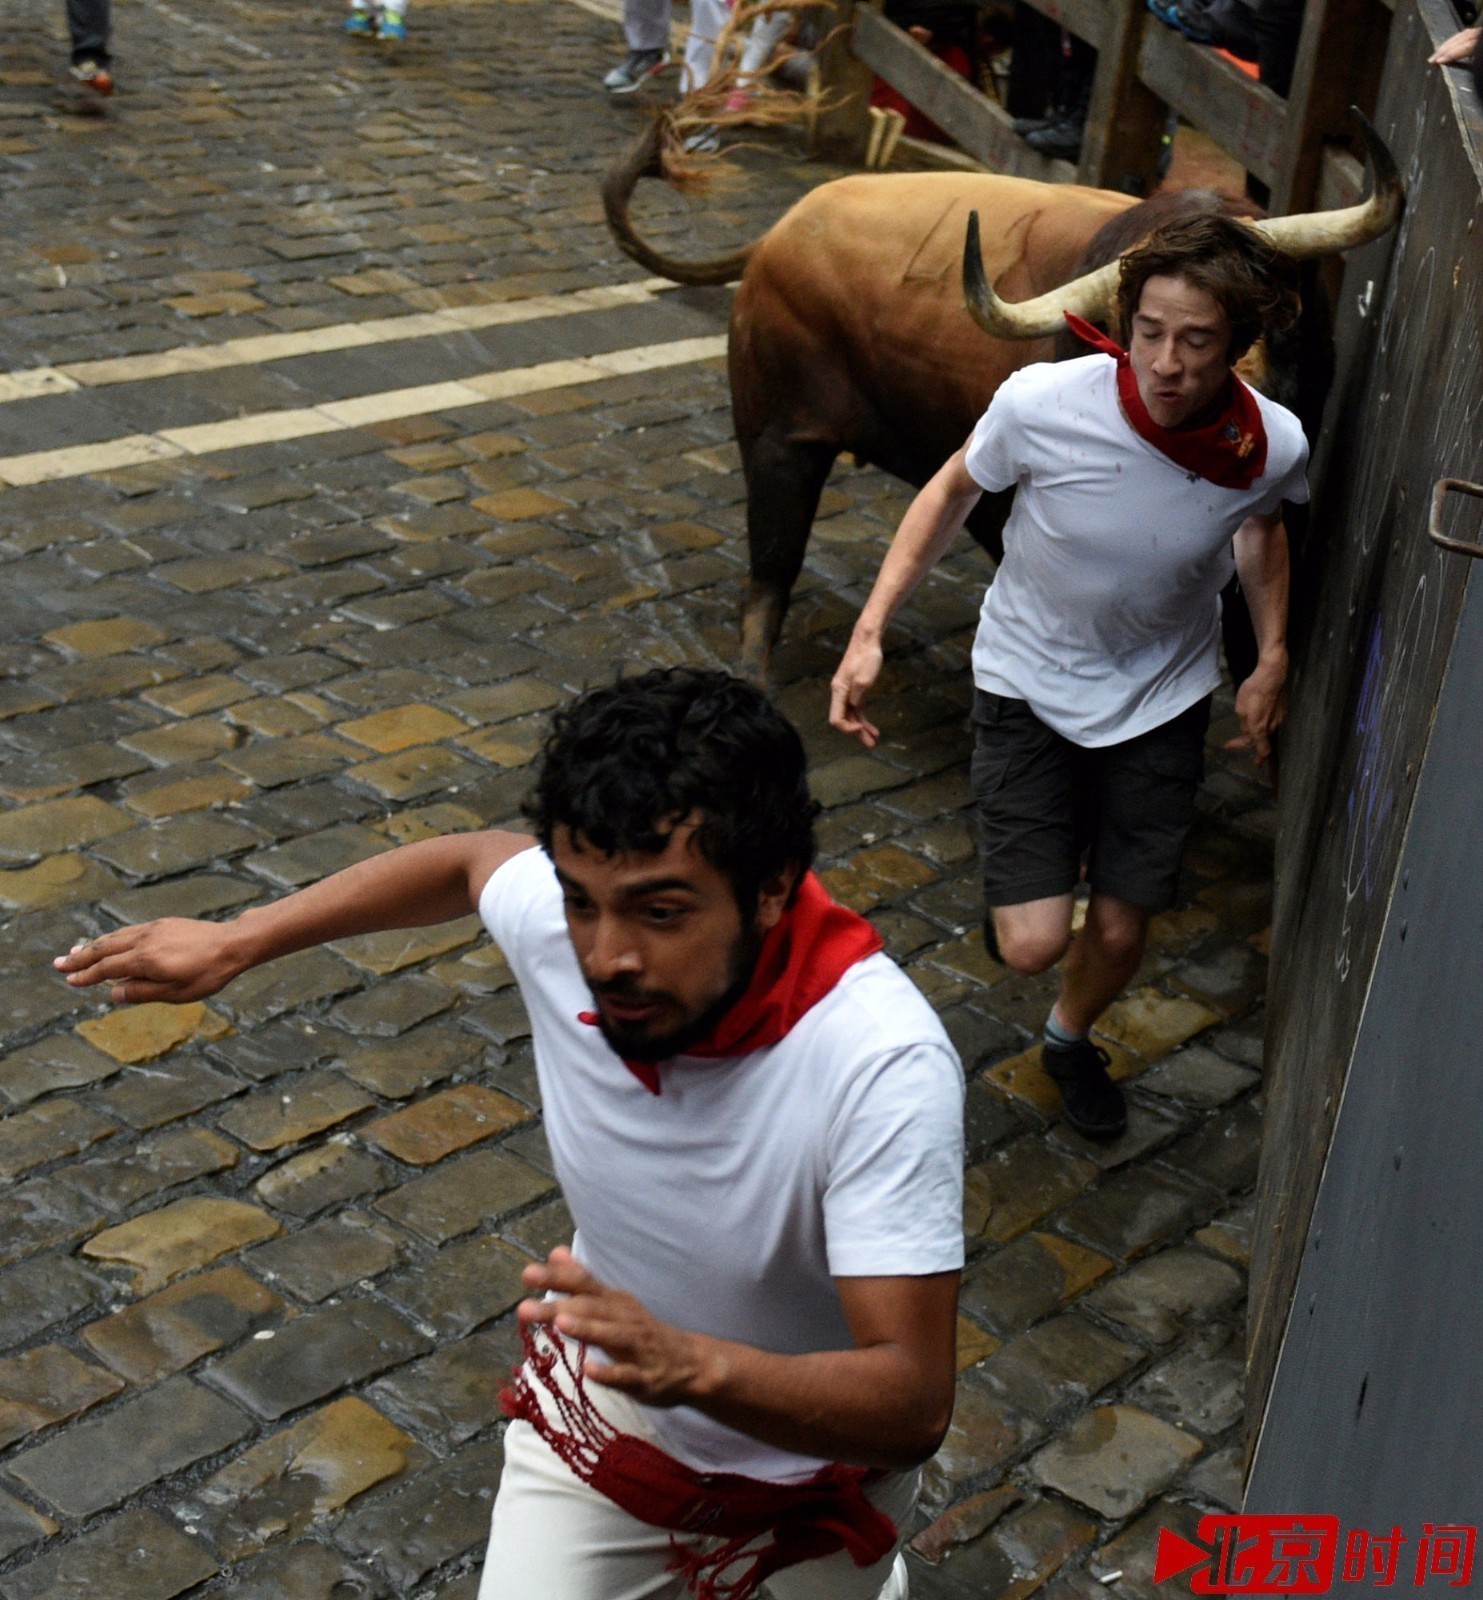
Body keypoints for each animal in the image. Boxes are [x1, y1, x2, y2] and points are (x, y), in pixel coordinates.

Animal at [601, 114, 1401, 681]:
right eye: (1143, 325)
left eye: (1276, 309)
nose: (1247, 408)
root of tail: (778, 233)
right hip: (777, 442)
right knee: (770, 571)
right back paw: (755, 676)